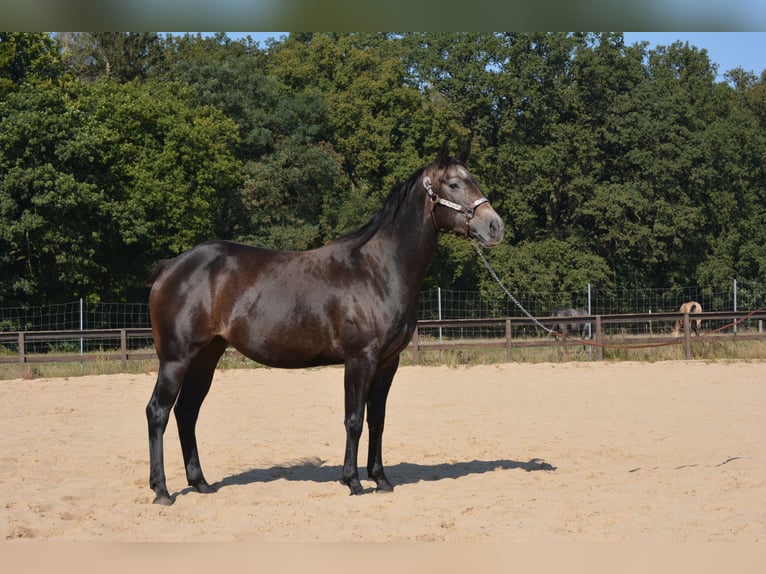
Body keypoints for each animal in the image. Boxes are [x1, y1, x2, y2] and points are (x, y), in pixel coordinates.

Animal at [145, 140, 505, 505]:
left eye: (472, 179)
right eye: (454, 184)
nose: (494, 226)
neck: (377, 270)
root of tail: (171, 266)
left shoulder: (388, 362)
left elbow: (377, 420)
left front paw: (381, 479)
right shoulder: (360, 359)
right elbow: (354, 419)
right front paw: (353, 481)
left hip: (206, 357)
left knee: (186, 412)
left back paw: (200, 483)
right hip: (176, 359)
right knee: (158, 412)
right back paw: (162, 491)